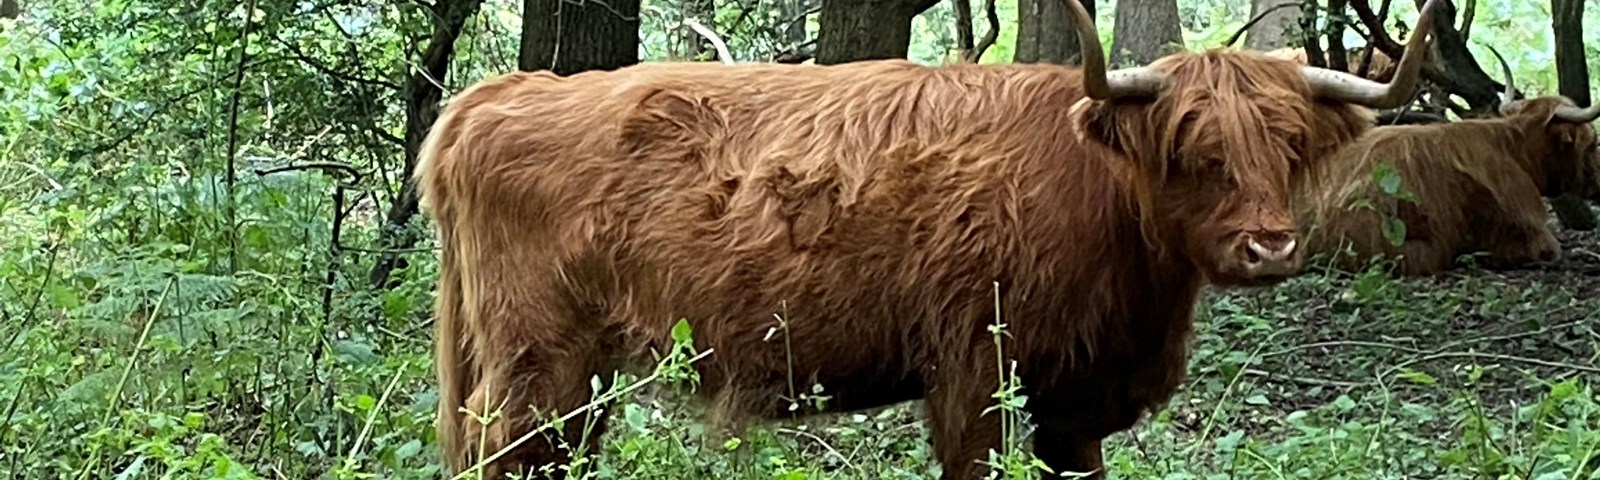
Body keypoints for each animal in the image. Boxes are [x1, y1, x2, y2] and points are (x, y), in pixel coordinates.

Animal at [415, 0, 1442, 478]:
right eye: (1194, 150)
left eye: (1291, 146)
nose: (1269, 247)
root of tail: (493, 96)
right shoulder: (974, 375)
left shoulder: (1072, 401)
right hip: (538, 365)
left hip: (574, 378)